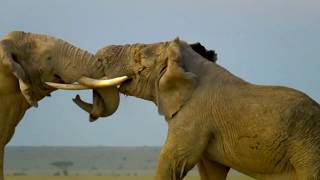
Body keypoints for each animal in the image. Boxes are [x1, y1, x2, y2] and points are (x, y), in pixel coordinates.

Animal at [53, 37, 320, 179]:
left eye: (139, 61)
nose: (77, 96)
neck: (185, 62)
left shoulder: (194, 115)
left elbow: (172, 161)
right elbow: (211, 170)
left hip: (309, 149)